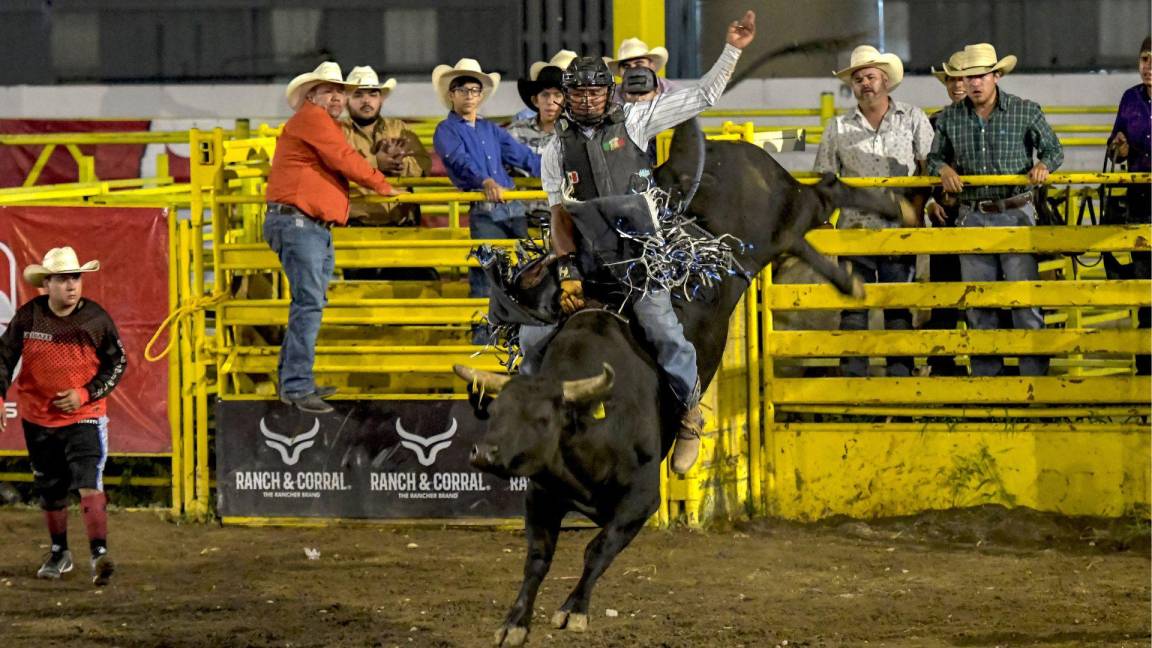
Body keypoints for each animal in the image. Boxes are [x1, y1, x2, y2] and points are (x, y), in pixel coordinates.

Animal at [451, 119, 907, 641]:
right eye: (496, 412)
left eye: (543, 418)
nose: (484, 454)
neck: (592, 424)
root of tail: (731, 146)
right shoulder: (543, 493)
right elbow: (537, 558)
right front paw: (515, 622)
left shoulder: (642, 500)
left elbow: (596, 549)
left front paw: (574, 609)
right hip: (776, 237)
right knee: (804, 236)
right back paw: (847, 279)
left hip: (782, 209)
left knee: (826, 193)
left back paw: (891, 207)